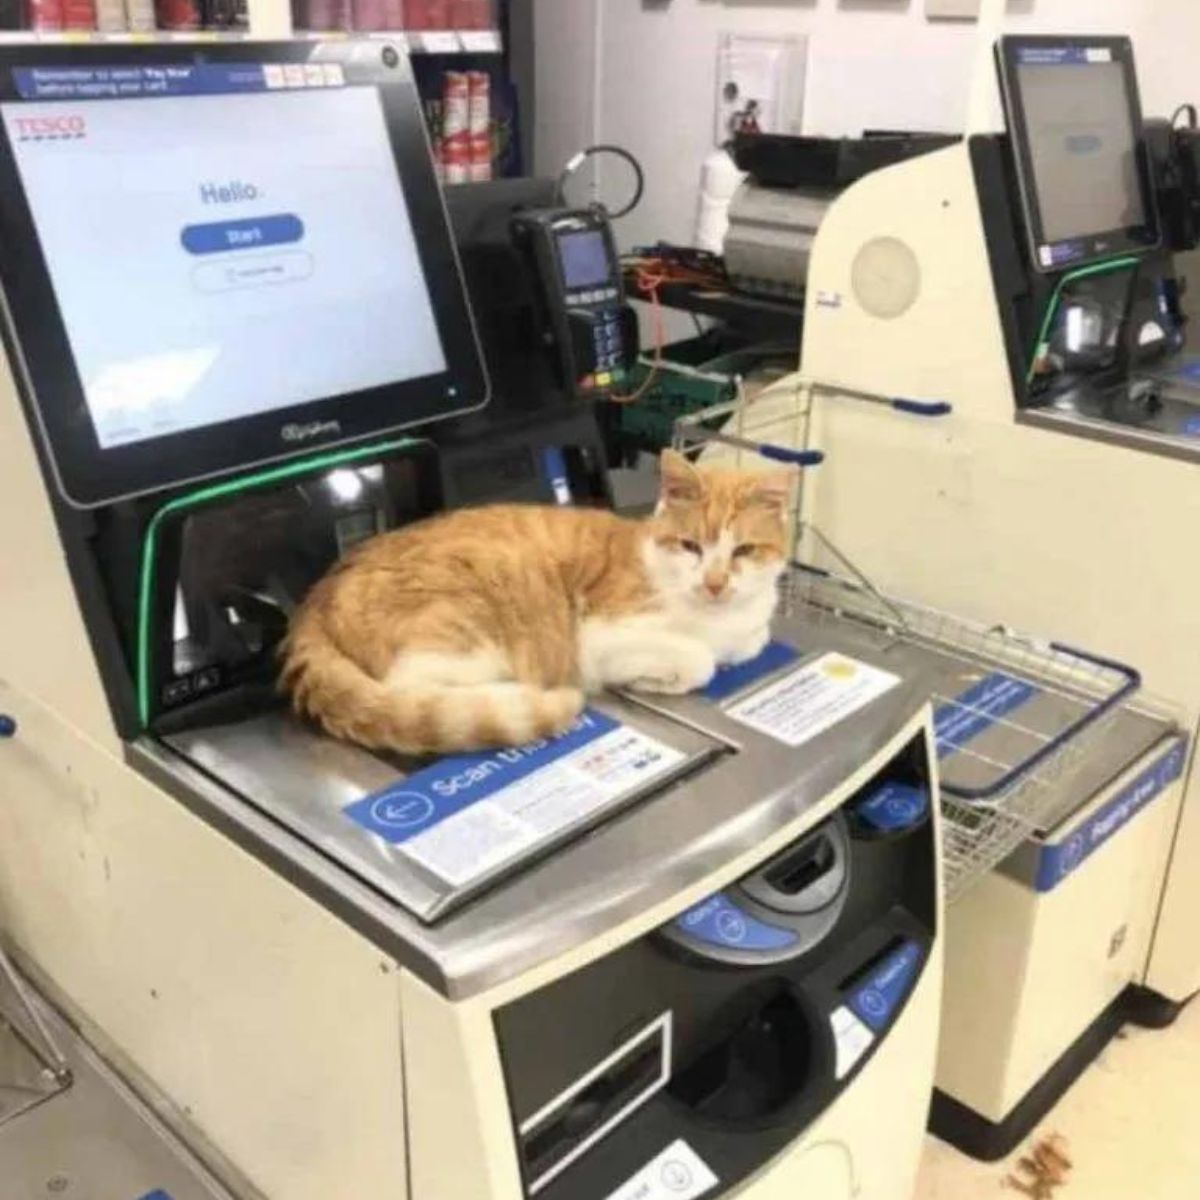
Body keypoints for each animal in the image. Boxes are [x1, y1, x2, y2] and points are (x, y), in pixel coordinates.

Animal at [276, 451, 792, 748]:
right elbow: (697, 661)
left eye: (743, 551)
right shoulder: (604, 636)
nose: (715, 582)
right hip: (468, 636)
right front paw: (659, 677)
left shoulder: (752, 629)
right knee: (411, 689)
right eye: (691, 546)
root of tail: (314, 601)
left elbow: (751, 642)